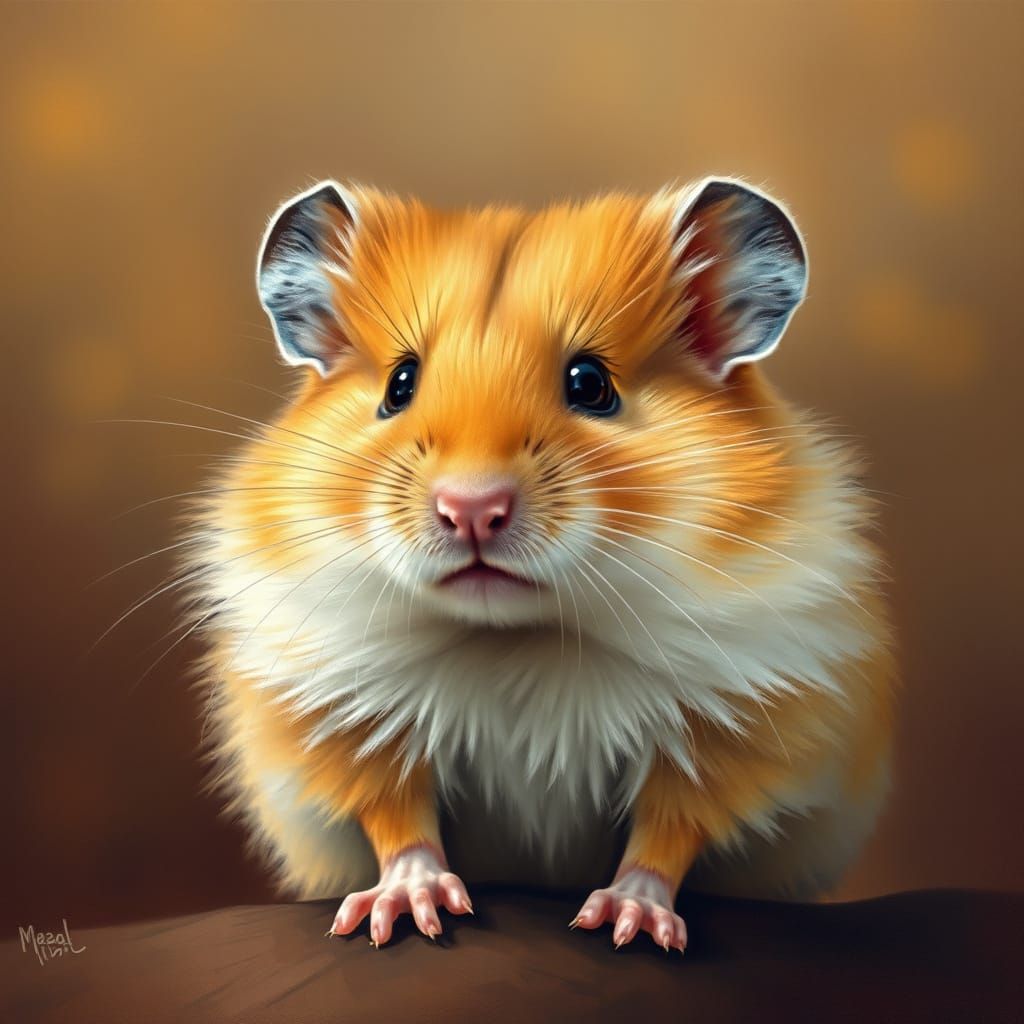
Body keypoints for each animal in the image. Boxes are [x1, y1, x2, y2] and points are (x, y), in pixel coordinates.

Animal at [190, 177, 895, 953]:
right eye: (400, 384)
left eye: (590, 384)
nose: (470, 508)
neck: (519, 635)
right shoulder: (343, 719)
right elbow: (398, 820)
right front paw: (405, 913)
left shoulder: (736, 727)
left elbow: (668, 831)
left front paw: (625, 924)